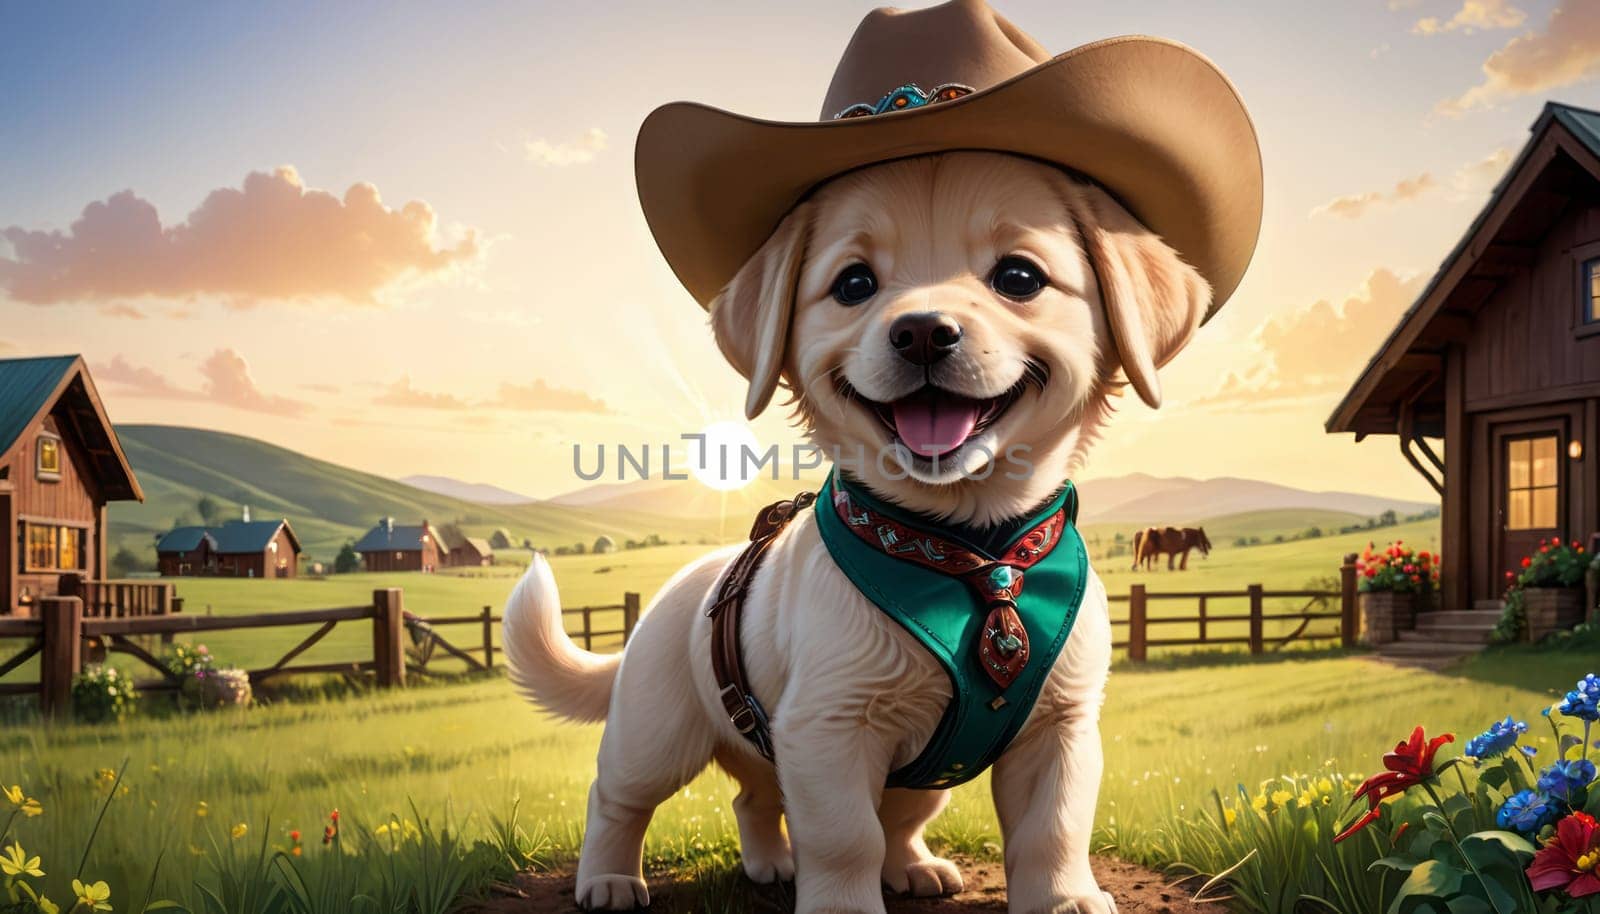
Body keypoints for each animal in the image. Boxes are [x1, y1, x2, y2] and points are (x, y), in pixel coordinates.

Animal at [505, 152, 1203, 914]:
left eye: (1019, 277)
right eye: (854, 285)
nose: (922, 331)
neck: (973, 555)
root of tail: (682, 582)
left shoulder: (1062, 726)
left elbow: (1054, 827)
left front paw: (1063, 899)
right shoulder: (828, 729)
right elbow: (845, 838)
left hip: (888, 772)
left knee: (783, 803)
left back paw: (841, 865)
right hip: (656, 736)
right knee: (617, 799)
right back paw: (607, 879)